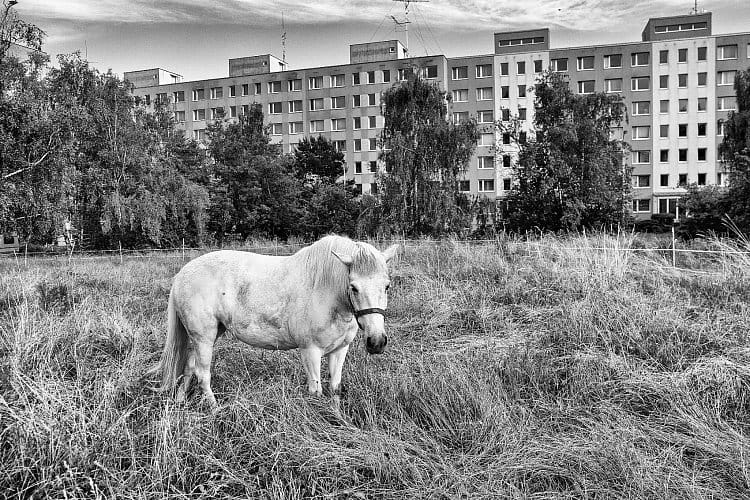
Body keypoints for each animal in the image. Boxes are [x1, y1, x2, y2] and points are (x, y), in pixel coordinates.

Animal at [153, 234, 400, 406]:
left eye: (387, 286)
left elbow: (335, 389)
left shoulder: (339, 350)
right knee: (202, 374)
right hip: (204, 338)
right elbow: (316, 391)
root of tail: (181, 275)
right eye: (354, 287)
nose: (377, 342)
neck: (325, 291)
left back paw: (180, 402)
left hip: (204, 336)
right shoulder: (309, 351)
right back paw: (215, 410)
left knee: (189, 367)